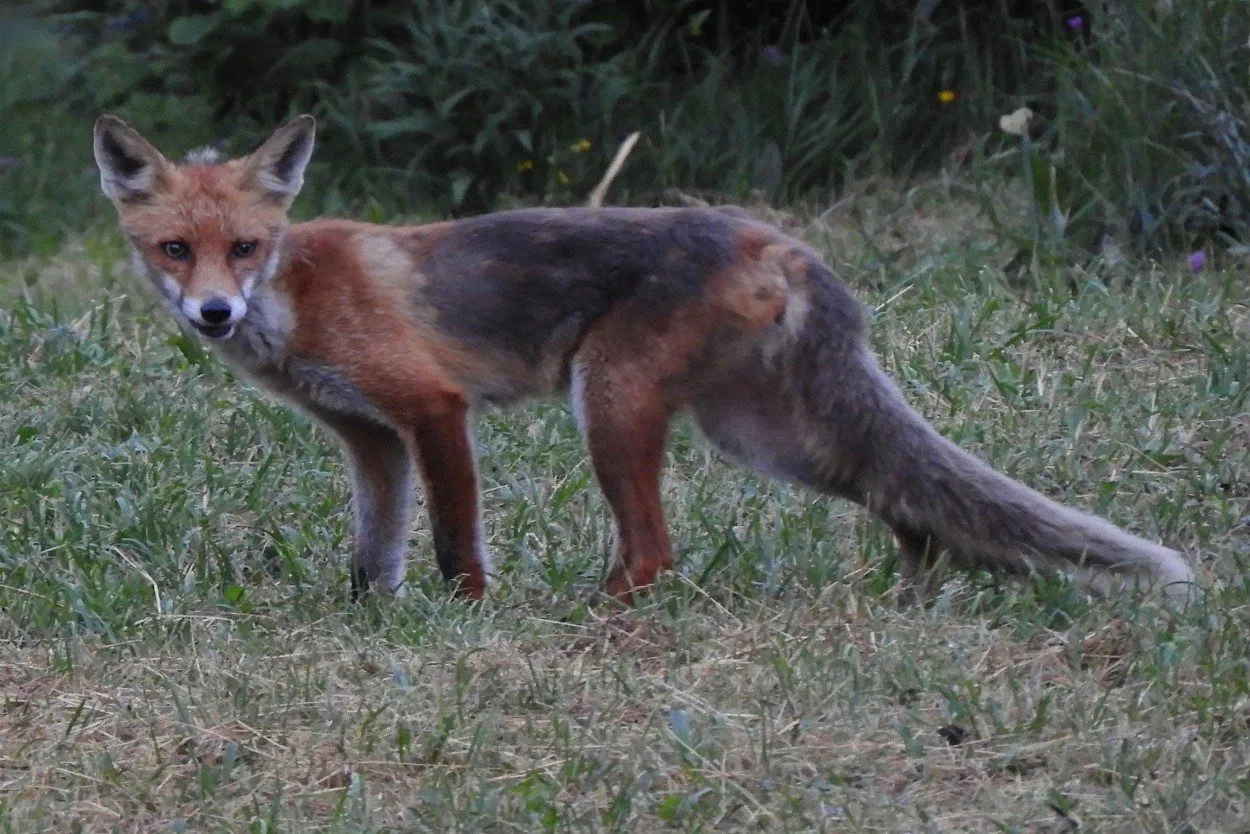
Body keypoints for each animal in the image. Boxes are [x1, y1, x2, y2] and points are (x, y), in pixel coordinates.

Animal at [92, 114, 1196, 605]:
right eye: (175, 250)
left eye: (244, 246)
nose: (214, 314)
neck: (296, 297)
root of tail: (773, 237)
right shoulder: (371, 438)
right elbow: (377, 553)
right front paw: (370, 619)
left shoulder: (431, 408)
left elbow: (451, 546)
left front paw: (465, 619)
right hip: (759, 437)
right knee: (896, 487)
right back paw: (919, 578)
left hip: (612, 401)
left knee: (655, 554)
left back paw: (592, 619)